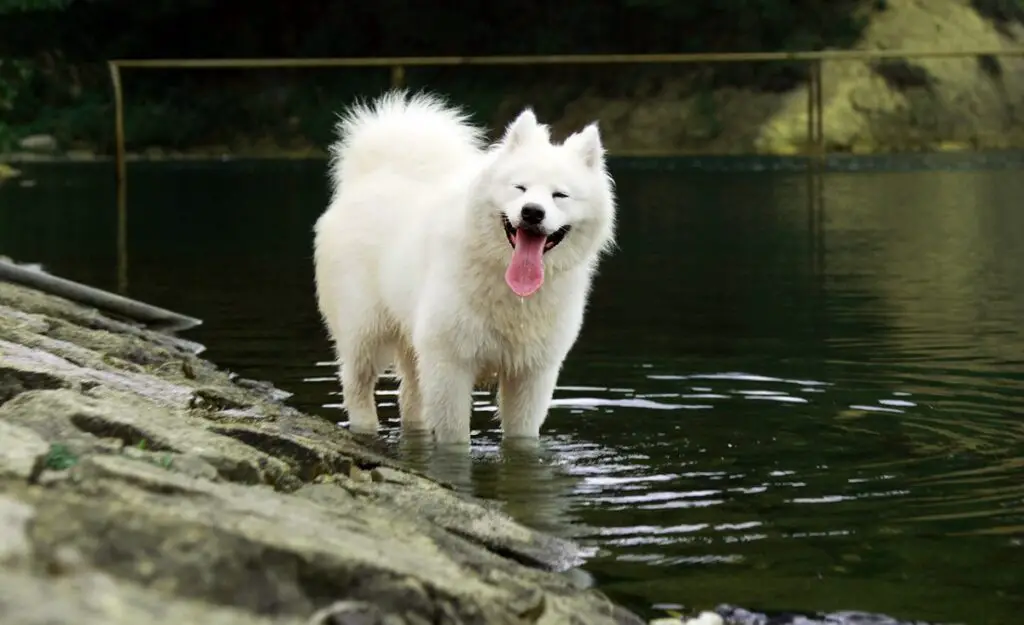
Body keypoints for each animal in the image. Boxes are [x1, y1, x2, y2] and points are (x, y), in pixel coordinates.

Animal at [311, 91, 614, 442]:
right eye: (520, 188)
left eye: (560, 195)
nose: (532, 212)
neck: (509, 288)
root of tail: (374, 173)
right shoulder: (449, 365)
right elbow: (455, 439)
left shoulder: (531, 373)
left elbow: (522, 438)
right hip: (365, 331)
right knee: (357, 384)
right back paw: (365, 428)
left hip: (413, 342)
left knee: (410, 398)